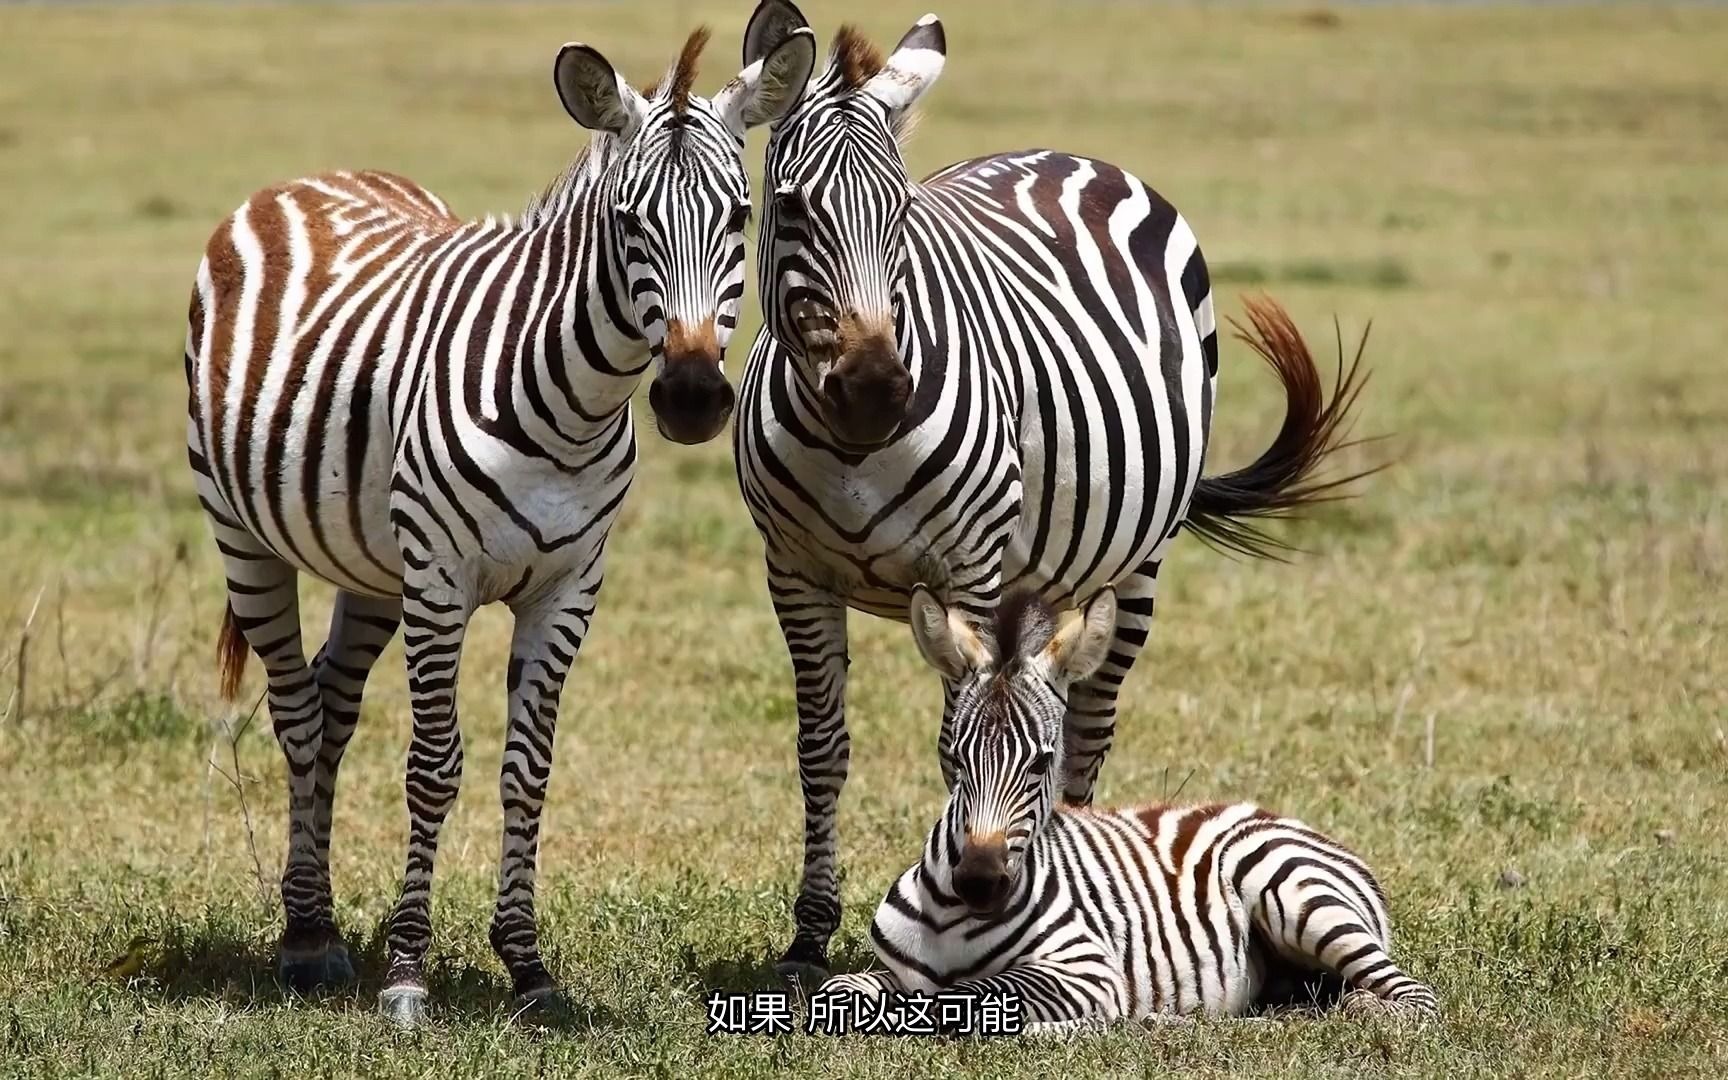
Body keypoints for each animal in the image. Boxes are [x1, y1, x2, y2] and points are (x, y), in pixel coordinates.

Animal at [185, 23, 819, 1016]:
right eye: (629, 223)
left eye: (740, 218)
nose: (689, 398)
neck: (570, 408)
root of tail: (309, 178)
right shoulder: (442, 581)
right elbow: (434, 765)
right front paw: (408, 971)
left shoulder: (568, 587)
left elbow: (529, 770)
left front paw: (527, 965)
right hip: (244, 535)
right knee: (293, 711)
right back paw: (308, 937)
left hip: (376, 567)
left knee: (330, 703)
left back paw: (320, 922)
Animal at [736, 0, 1368, 981]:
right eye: (792, 207)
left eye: (902, 214)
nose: (877, 390)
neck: (853, 447)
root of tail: (1070, 157)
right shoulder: (794, 573)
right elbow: (823, 749)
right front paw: (809, 936)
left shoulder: (967, 569)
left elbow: (971, 733)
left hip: (1136, 564)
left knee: (1089, 722)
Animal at [815, 584, 1437, 1029]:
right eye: (956, 757)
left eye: (1042, 763)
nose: (978, 883)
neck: (950, 912)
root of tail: (1285, 820)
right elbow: (842, 991)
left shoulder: (1085, 970)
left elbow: (969, 993)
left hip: (1297, 896)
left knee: (1413, 998)